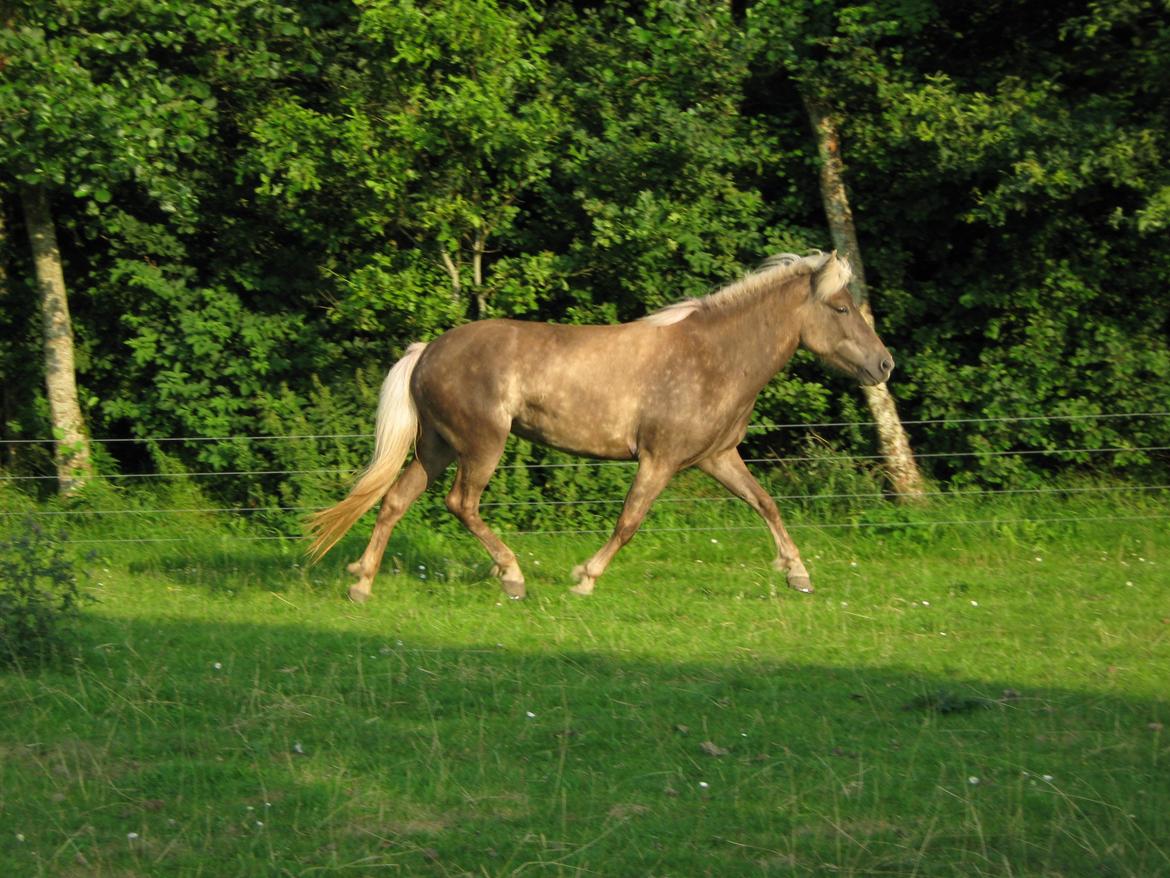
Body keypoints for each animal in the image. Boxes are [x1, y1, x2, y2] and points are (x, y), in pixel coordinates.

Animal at [306, 250, 889, 604]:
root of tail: (426, 350)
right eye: (841, 308)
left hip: (438, 447)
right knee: (460, 504)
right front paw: (584, 578)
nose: (884, 365)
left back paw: (362, 582)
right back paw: (511, 576)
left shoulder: (717, 457)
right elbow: (628, 522)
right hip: (481, 444)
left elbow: (766, 504)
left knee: (395, 501)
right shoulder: (659, 460)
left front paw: (797, 574)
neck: (714, 357)